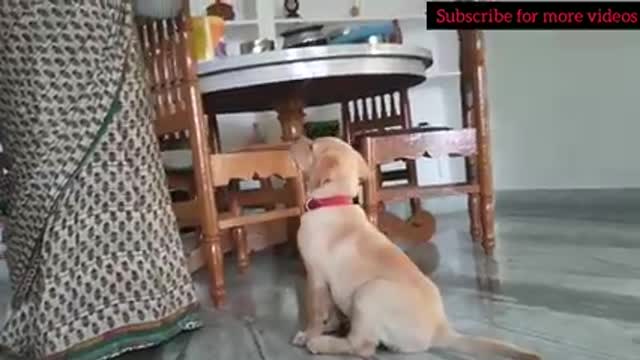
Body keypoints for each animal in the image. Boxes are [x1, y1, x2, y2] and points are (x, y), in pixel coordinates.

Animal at [290, 136, 540, 358]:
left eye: (311, 146)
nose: (293, 140)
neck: (333, 201)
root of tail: (440, 330)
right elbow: (329, 310)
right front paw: (330, 324)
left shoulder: (316, 275)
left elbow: (316, 311)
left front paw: (309, 334)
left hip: (369, 292)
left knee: (362, 347)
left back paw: (321, 344)